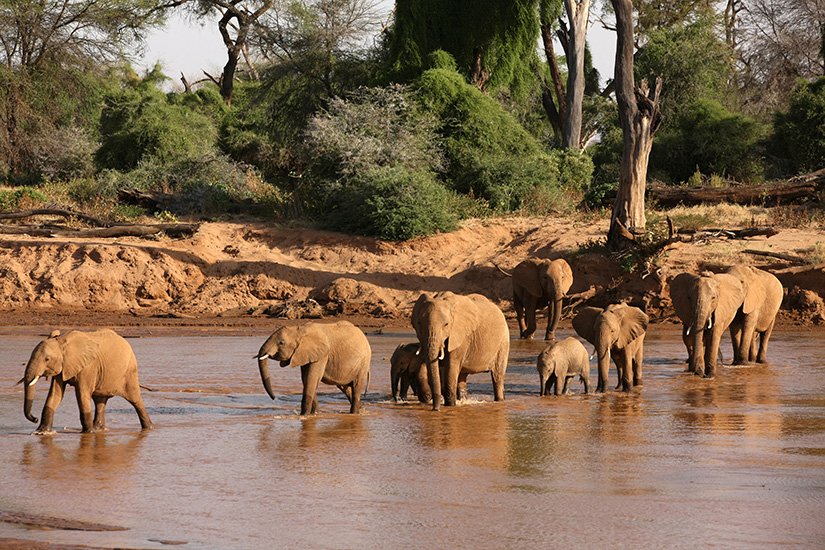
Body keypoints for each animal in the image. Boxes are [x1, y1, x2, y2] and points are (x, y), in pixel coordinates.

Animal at [19, 329, 152, 434]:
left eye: (47, 359)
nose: (35, 418)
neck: (61, 341)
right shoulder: (63, 367)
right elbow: (55, 394)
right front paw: (41, 432)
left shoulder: (88, 367)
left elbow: (82, 394)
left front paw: (88, 433)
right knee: (100, 401)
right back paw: (98, 429)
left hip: (130, 371)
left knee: (135, 399)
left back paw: (148, 428)